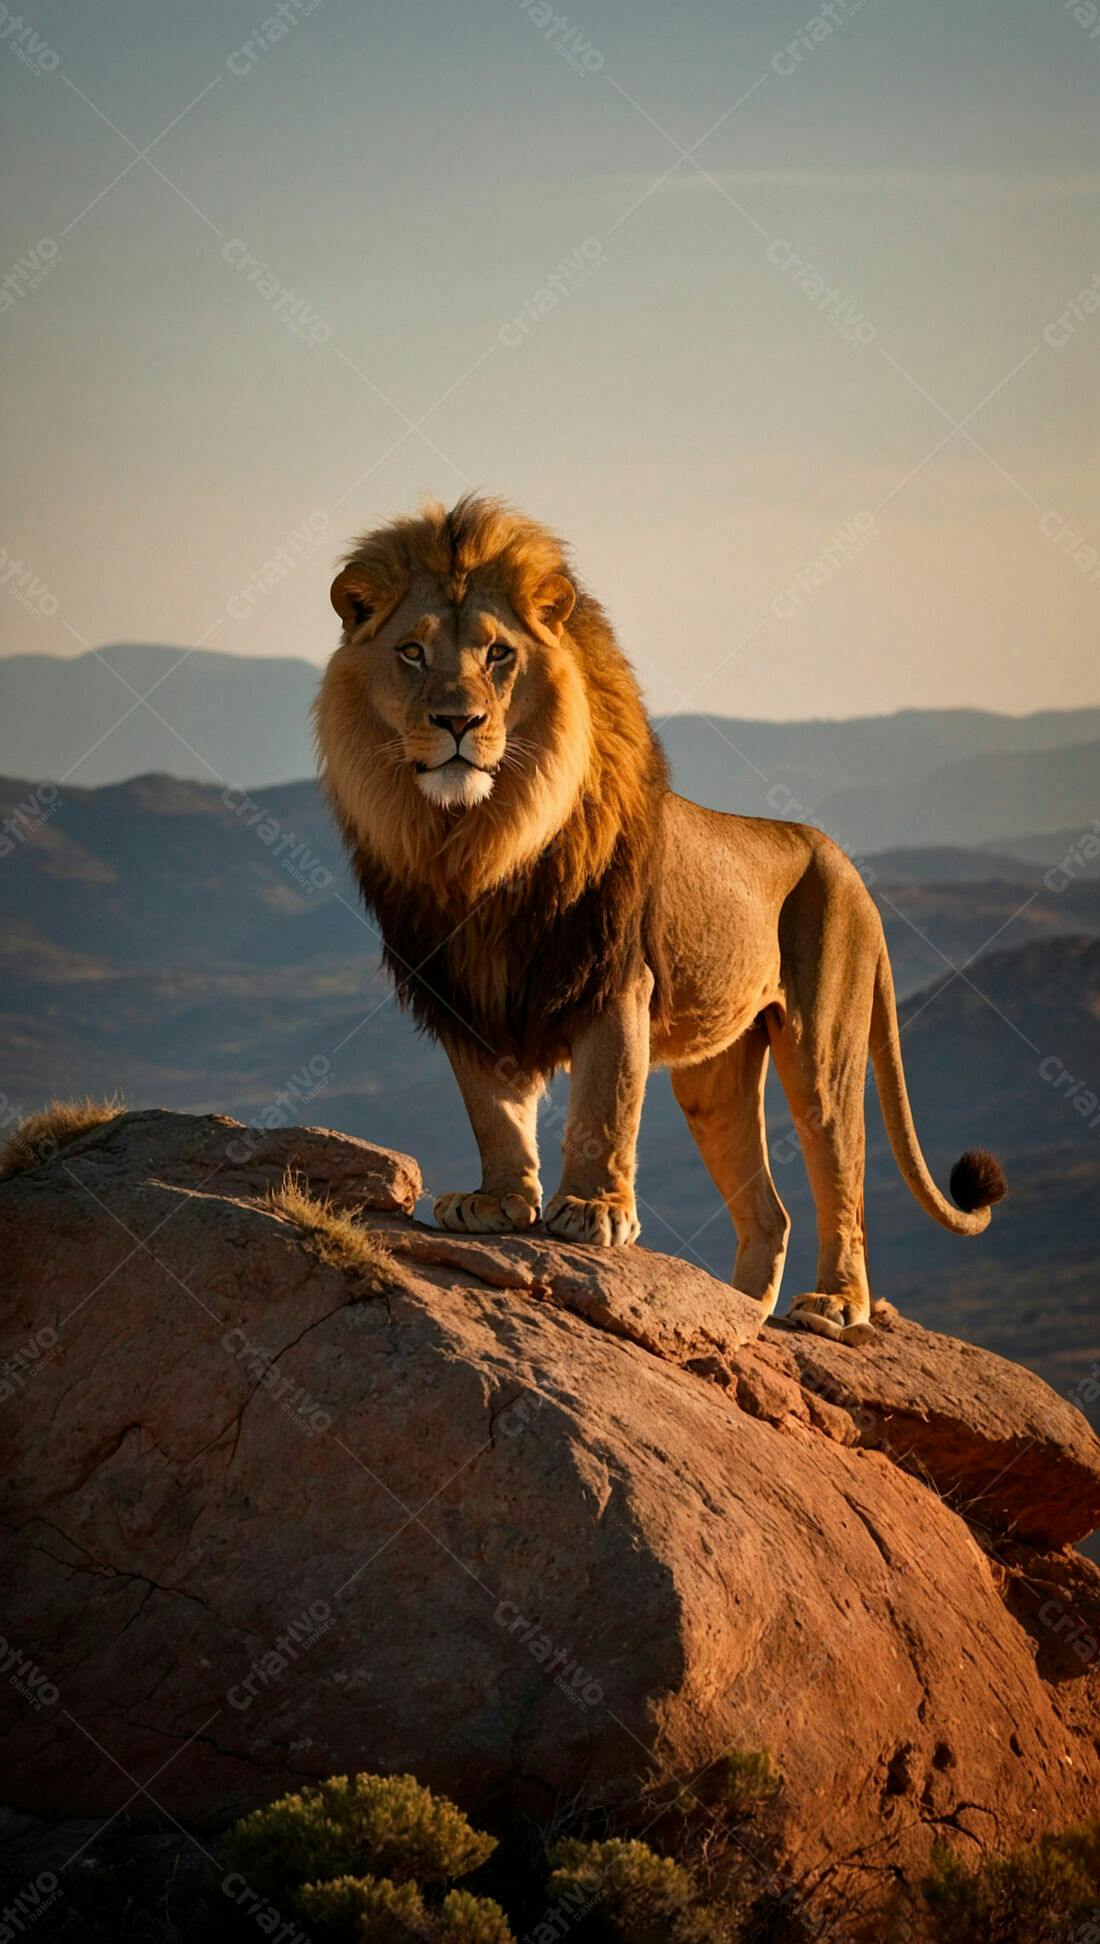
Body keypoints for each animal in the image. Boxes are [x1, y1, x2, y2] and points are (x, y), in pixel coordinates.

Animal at [315, 494, 1005, 1343]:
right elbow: (492, 1108)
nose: (457, 721)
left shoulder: (612, 977)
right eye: (412, 653)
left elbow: (605, 1100)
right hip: (716, 1077)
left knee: (841, 1175)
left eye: (499, 654)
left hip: (824, 1047)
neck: (477, 842)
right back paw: (739, 1319)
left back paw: (835, 1306)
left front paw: (591, 1211)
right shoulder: (464, 988)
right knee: (769, 1214)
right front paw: (499, 1202)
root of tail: (844, 862)